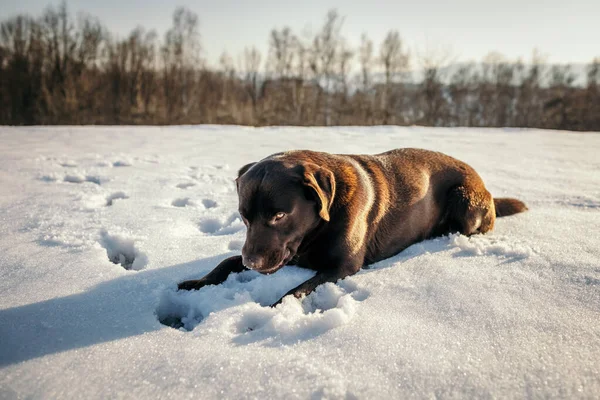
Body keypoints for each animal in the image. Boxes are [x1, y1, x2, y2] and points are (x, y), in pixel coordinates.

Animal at [177, 150, 524, 306]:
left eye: (279, 215)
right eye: (244, 217)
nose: (252, 263)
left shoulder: (342, 265)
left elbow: (295, 292)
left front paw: (273, 310)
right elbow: (224, 262)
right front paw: (195, 283)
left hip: (465, 199)